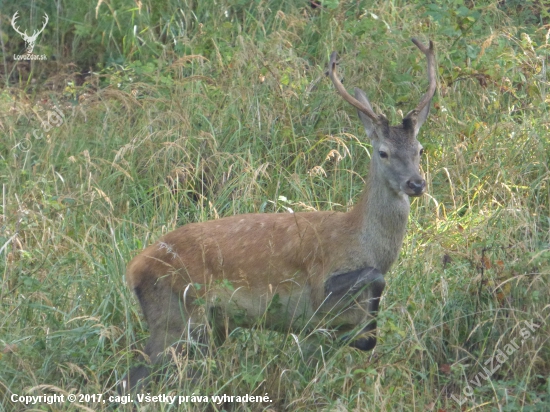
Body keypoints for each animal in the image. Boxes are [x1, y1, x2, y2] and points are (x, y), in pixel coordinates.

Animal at [123, 37, 438, 390]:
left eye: (420, 149)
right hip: (178, 317)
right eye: (383, 152)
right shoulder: (319, 295)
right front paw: (366, 334)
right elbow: (373, 281)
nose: (416, 183)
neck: (360, 240)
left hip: (200, 327)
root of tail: (134, 269)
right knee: (135, 376)